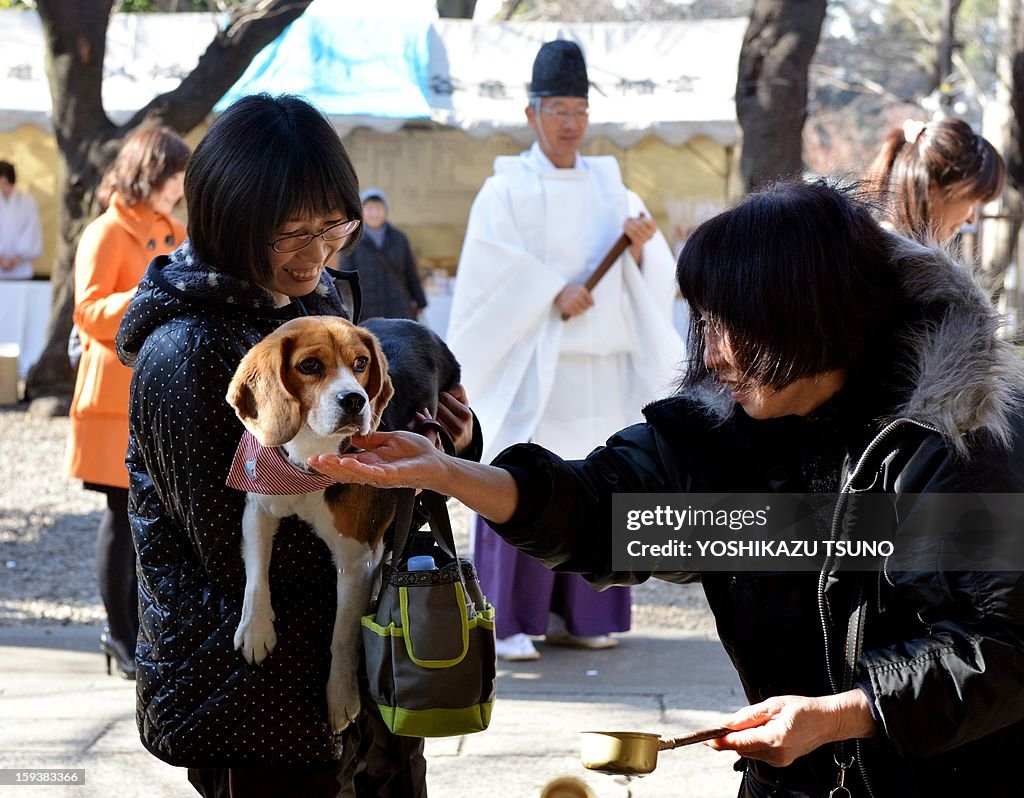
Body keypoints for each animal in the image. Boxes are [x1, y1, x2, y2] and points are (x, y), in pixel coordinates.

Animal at [224, 315, 395, 733]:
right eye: (310, 366)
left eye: (361, 363)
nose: (355, 400)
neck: (308, 458)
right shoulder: (258, 507)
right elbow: (257, 575)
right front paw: (256, 630)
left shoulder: (357, 561)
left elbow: (343, 635)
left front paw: (341, 695)